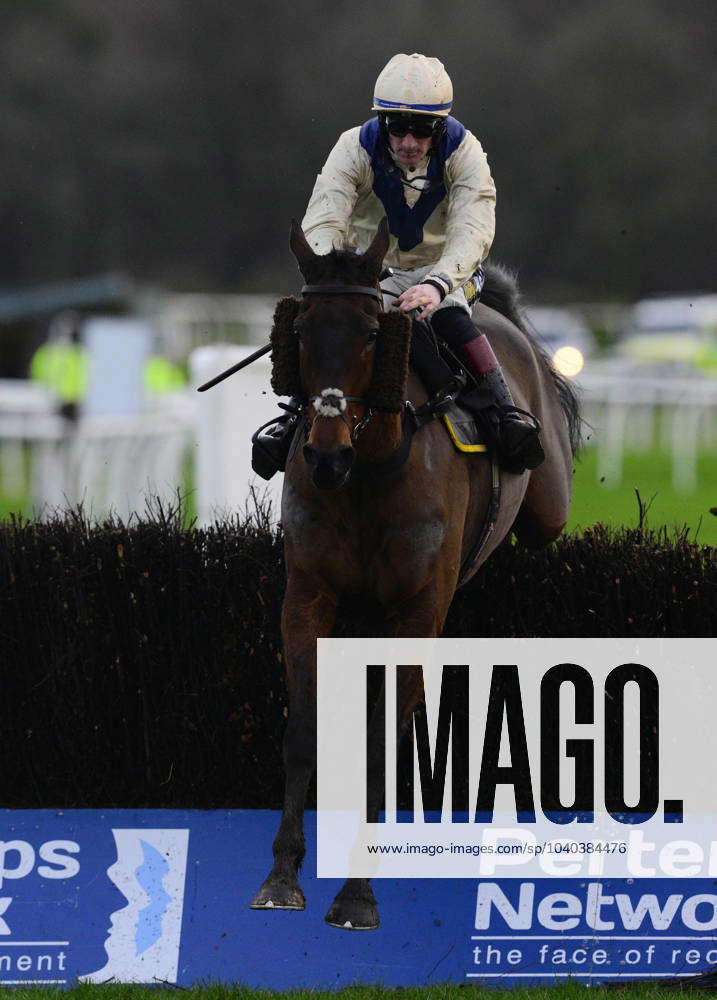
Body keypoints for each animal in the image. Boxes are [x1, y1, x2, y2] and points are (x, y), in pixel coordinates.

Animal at [249, 217, 580, 928]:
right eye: (300, 332)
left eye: (373, 332)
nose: (324, 452)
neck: (370, 470)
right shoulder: (308, 596)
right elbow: (302, 729)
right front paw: (283, 876)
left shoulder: (417, 610)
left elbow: (385, 742)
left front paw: (356, 891)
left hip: (550, 500)